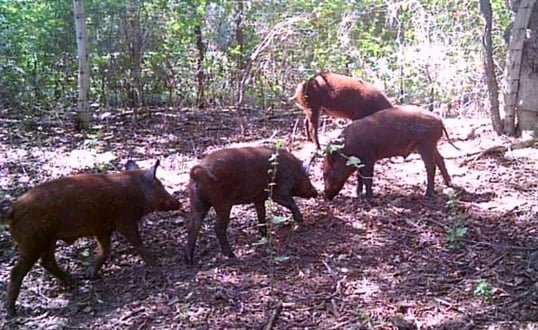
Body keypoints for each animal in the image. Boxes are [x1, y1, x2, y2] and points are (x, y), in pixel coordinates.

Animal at [0, 160, 181, 318]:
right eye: (160, 185)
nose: (178, 203)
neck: (137, 192)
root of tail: (12, 210)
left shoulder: (103, 229)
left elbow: (106, 250)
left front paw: (90, 275)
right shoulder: (125, 220)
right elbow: (137, 243)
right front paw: (155, 263)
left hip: (49, 240)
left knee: (47, 261)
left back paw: (72, 282)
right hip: (33, 241)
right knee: (17, 271)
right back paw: (11, 312)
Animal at [185, 146, 316, 264]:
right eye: (308, 177)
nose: (316, 192)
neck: (294, 170)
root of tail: (197, 173)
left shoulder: (258, 199)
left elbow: (261, 215)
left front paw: (264, 236)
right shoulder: (279, 192)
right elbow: (290, 203)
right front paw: (300, 222)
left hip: (197, 203)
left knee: (192, 227)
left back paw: (190, 261)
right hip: (222, 204)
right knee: (218, 227)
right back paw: (232, 255)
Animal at [322, 104, 456, 200]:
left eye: (326, 174)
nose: (326, 197)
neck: (348, 149)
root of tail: (439, 120)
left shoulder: (369, 158)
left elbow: (367, 177)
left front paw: (369, 198)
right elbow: (359, 176)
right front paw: (358, 194)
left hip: (426, 144)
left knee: (431, 166)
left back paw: (428, 195)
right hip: (431, 145)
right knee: (441, 160)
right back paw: (449, 185)